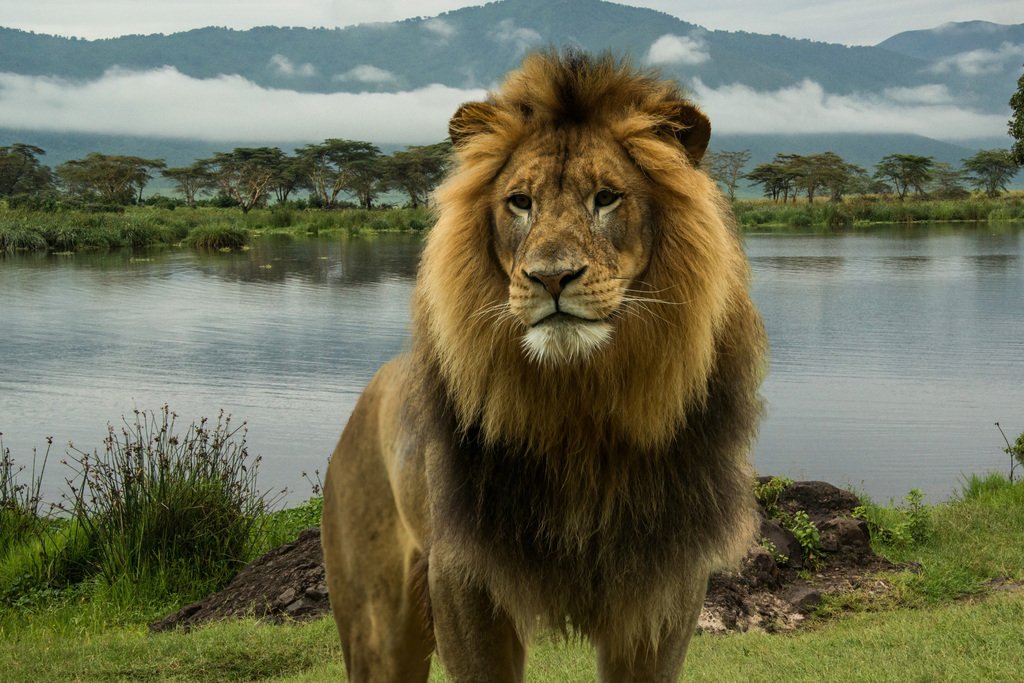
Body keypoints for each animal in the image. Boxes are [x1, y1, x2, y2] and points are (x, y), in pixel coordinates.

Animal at [321, 50, 767, 682]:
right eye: (520, 201)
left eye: (606, 197)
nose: (551, 277)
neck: (576, 405)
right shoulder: (462, 577)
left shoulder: (666, 585)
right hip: (376, 626)